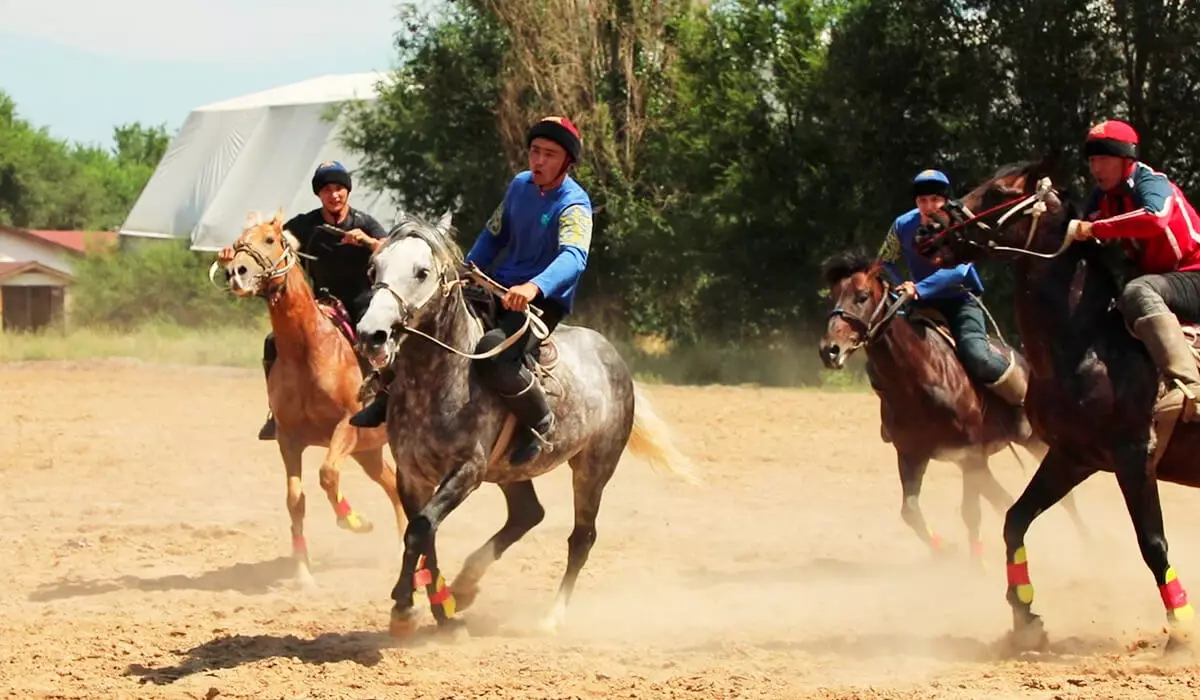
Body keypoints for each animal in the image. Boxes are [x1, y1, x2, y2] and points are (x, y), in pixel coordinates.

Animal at [213, 211, 405, 588]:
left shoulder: (346, 426)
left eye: (270, 239)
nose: (235, 272)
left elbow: (327, 475)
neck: (308, 349)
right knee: (392, 487)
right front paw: (303, 573)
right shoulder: (288, 438)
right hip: (369, 452)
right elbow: (295, 500)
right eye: (239, 241)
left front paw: (355, 521)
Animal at [350, 211, 700, 638]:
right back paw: (466, 585)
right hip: (511, 472)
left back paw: (551, 617)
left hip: (593, 469)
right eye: (374, 267)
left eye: (422, 272)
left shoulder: (467, 470)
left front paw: (405, 606)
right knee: (528, 514)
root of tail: (613, 358)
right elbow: (424, 533)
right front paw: (440, 610)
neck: (442, 377)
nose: (372, 335)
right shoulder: (411, 474)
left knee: (581, 538)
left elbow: (419, 528)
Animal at [820, 246, 1084, 564]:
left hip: (1032, 441)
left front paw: (976, 566)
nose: (829, 350)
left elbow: (971, 514)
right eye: (834, 295)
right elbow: (911, 511)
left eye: (861, 295)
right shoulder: (912, 455)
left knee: (1065, 497)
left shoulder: (970, 454)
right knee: (1004, 498)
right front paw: (948, 552)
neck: (918, 378)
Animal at [916, 162, 1200, 653]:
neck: (1089, 345)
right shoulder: (1072, 456)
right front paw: (1024, 615)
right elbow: (1015, 519)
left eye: (999, 191)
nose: (931, 229)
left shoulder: (1134, 457)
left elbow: (1152, 542)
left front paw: (1181, 628)